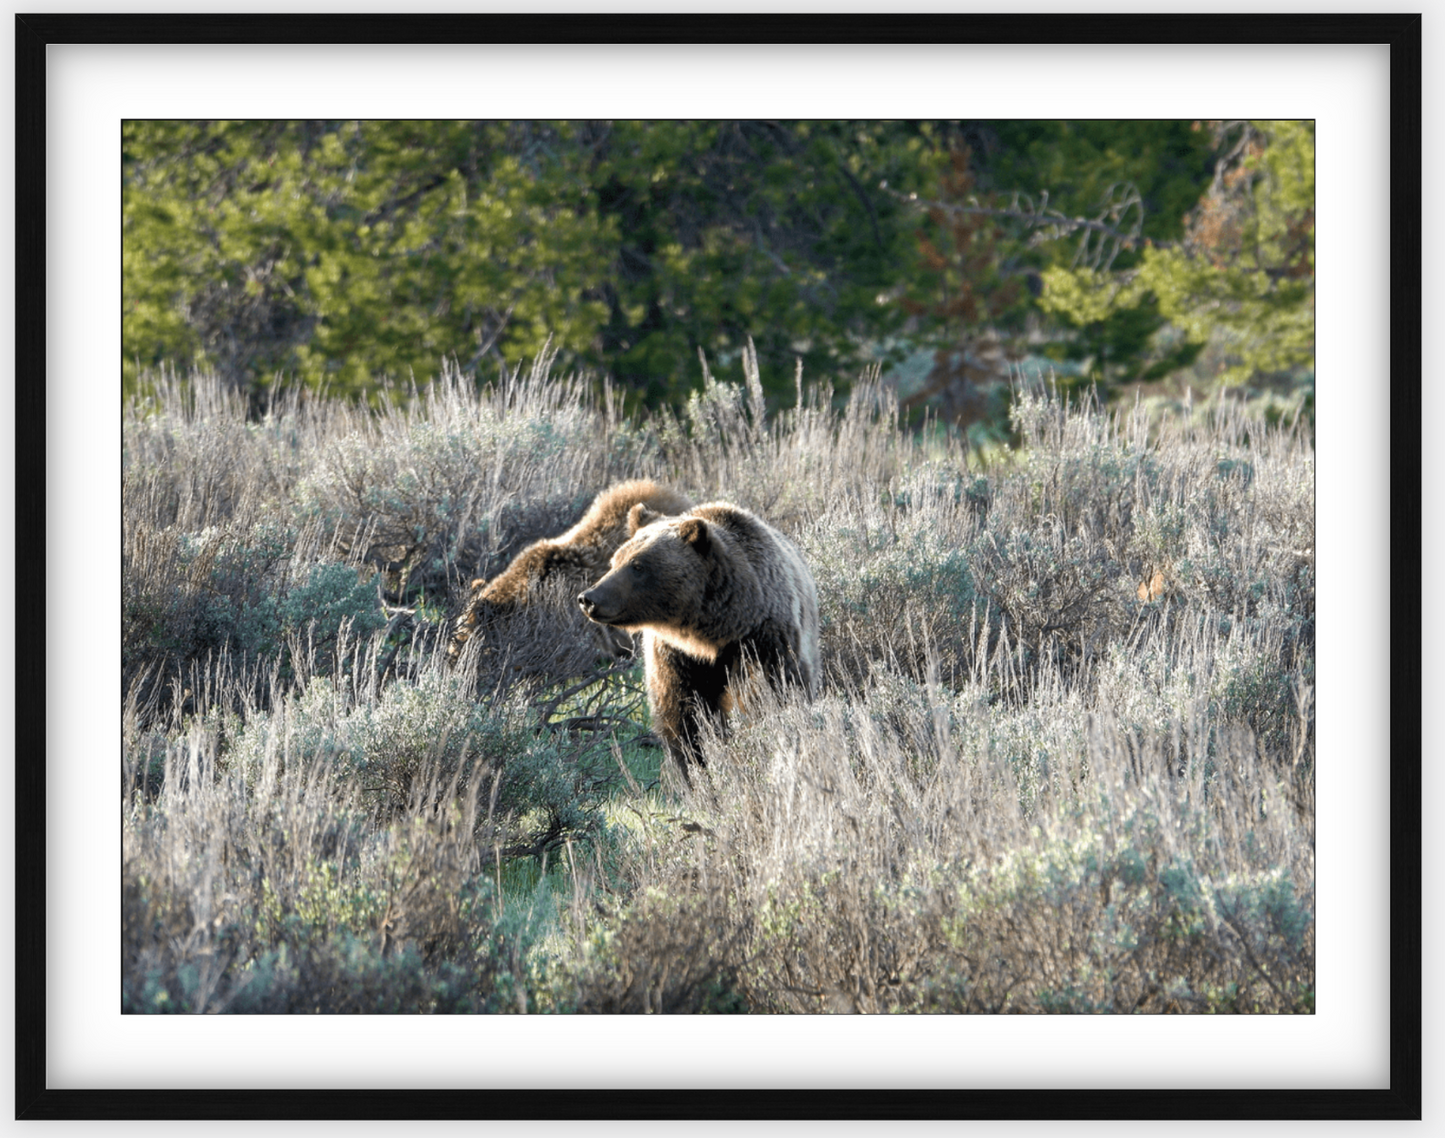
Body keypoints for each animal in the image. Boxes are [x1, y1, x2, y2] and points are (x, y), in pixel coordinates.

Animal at [578, 499, 826, 774]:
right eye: (615, 560)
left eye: (637, 565)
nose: (589, 598)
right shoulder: (674, 655)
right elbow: (682, 715)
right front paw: (694, 764)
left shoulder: (763, 639)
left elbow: (772, 691)